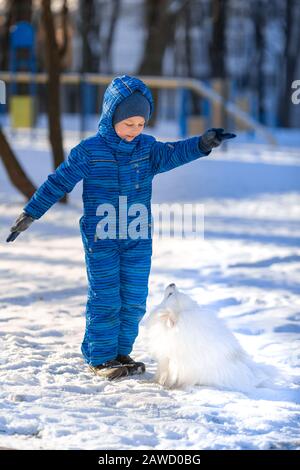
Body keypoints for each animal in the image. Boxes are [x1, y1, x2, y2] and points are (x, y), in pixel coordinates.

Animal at [145, 284, 274, 392]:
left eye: (170, 294)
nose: (172, 284)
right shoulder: (166, 358)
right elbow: (160, 372)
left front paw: (167, 386)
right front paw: (153, 381)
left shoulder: (172, 359)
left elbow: (170, 375)